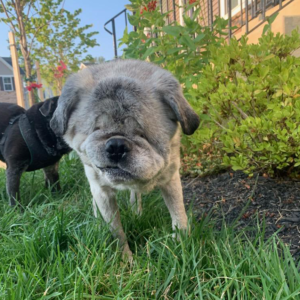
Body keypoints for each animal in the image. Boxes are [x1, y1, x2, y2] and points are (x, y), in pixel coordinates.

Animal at [50, 59, 200, 258]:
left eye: (142, 134)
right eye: (96, 129)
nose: (116, 145)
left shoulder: (171, 179)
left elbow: (178, 214)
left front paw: (181, 245)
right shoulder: (101, 191)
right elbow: (116, 232)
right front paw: (125, 260)